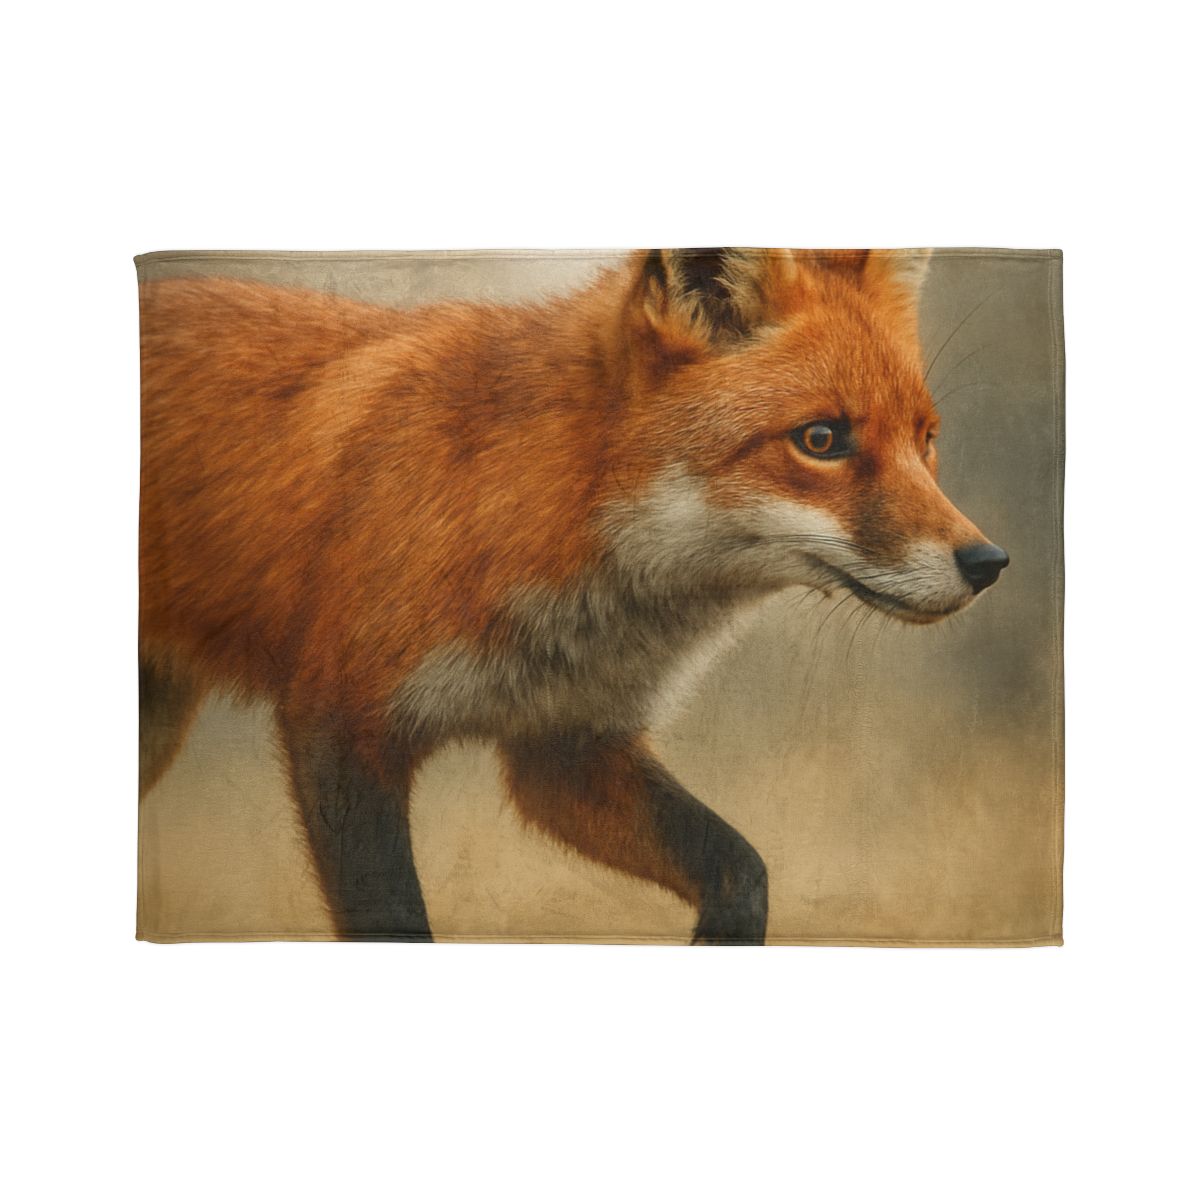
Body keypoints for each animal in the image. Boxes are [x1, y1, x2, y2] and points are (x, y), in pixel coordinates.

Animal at [138, 247, 1009, 944]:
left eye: (926, 440)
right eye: (822, 440)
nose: (988, 562)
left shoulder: (566, 746)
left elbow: (741, 869)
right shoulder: (340, 725)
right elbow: (397, 922)